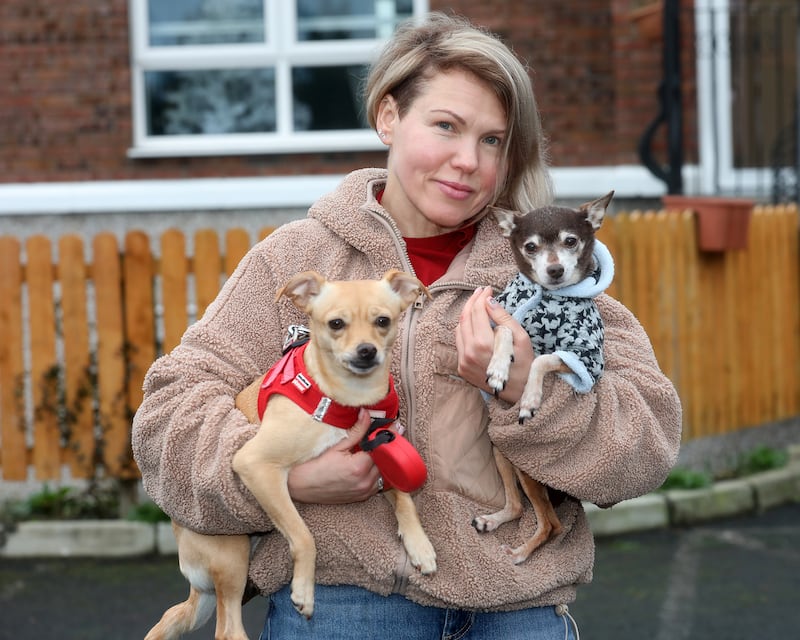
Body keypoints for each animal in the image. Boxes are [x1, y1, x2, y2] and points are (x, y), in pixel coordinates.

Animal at [147, 270, 440, 640]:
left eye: (383, 321)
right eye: (336, 323)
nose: (366, 351)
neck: (346, 400)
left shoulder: (382, 450)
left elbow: (404, 498)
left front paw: (420, 545)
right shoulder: (256, 465)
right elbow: (303, 536)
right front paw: (303, 590)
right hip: (231, 556)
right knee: (228, 630)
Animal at [472, 191, 616, 564]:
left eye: (571, 241)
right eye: (531, 246)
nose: (554, 269)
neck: (547, 298)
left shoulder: (585, 358)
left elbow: (541, 360)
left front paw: (530, 399)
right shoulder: (500, 316)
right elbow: (506, 331)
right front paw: (498, 367)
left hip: (527, 471)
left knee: (552, 524)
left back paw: (523, 552)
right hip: (503, 453)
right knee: (517, 506)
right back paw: (493, 520)